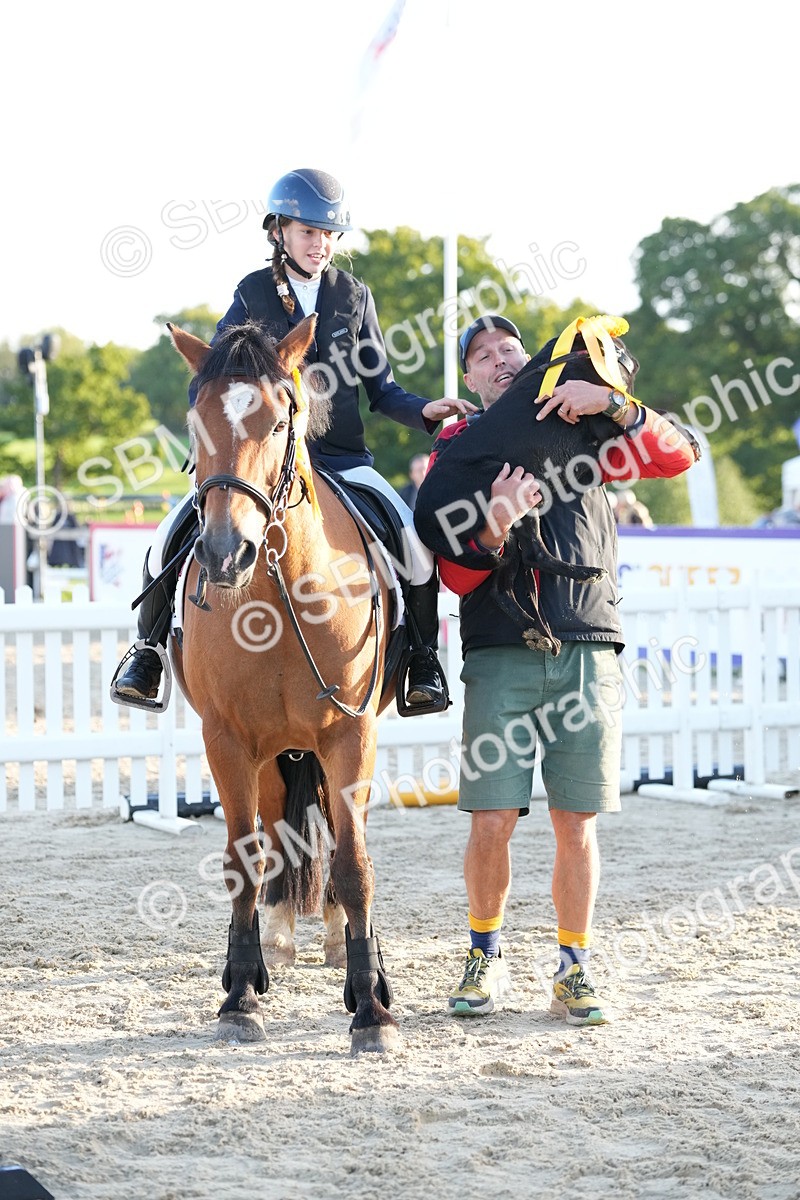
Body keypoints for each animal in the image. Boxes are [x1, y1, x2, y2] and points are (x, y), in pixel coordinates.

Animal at [167, 316, 398, 1055]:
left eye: (276, 422)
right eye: (197, 423)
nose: (223, 554)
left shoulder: (352, 731)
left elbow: (353, 861)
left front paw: (371, 1008)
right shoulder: (228, 740)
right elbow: (244, 859)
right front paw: (241, 996)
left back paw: (338, 941)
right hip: (271, 754)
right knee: (276, 832)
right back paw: (276, 938)